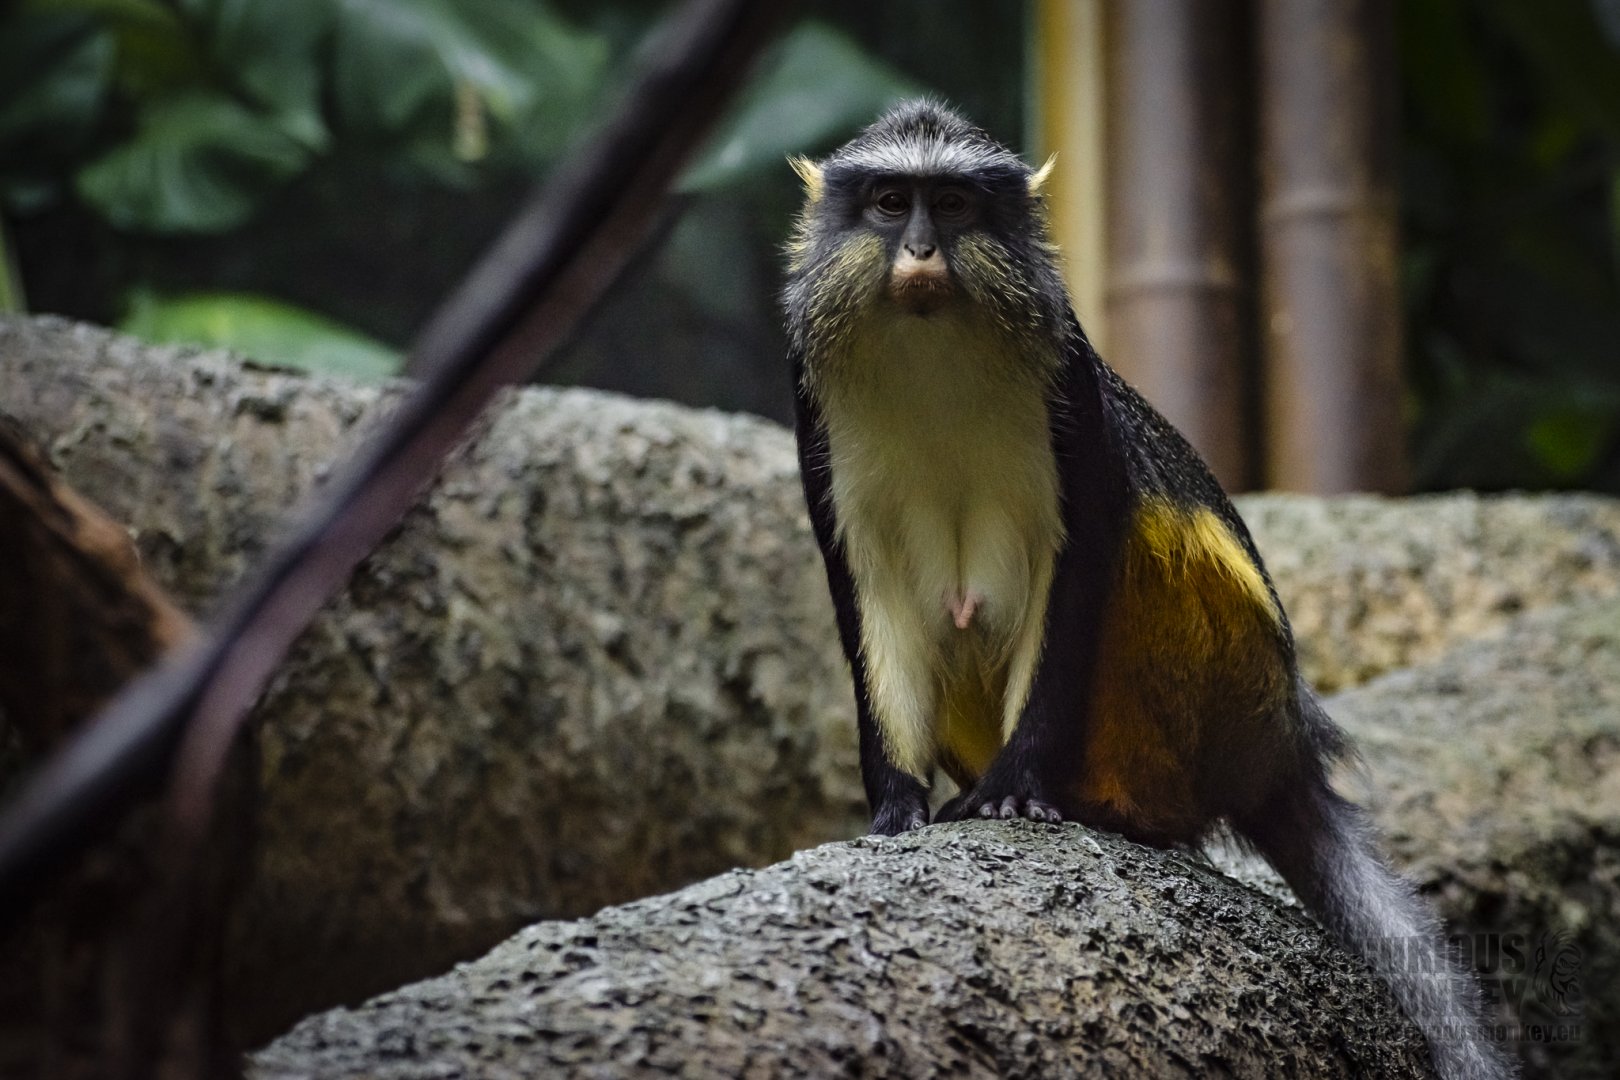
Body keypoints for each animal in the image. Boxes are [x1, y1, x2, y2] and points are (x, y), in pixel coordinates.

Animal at [782, 100, 1514, 1080]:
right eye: (892, 203)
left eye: (956, 204)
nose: (924, 252)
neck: (932, 349)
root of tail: (1283, 749)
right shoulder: (811, 403)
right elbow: (869, 591)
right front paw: (896, 808)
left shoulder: (1067, 383)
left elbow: (1087, 551)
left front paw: (1017, 790)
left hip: (1231, 695)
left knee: (1148, 541)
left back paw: (1115, 806)